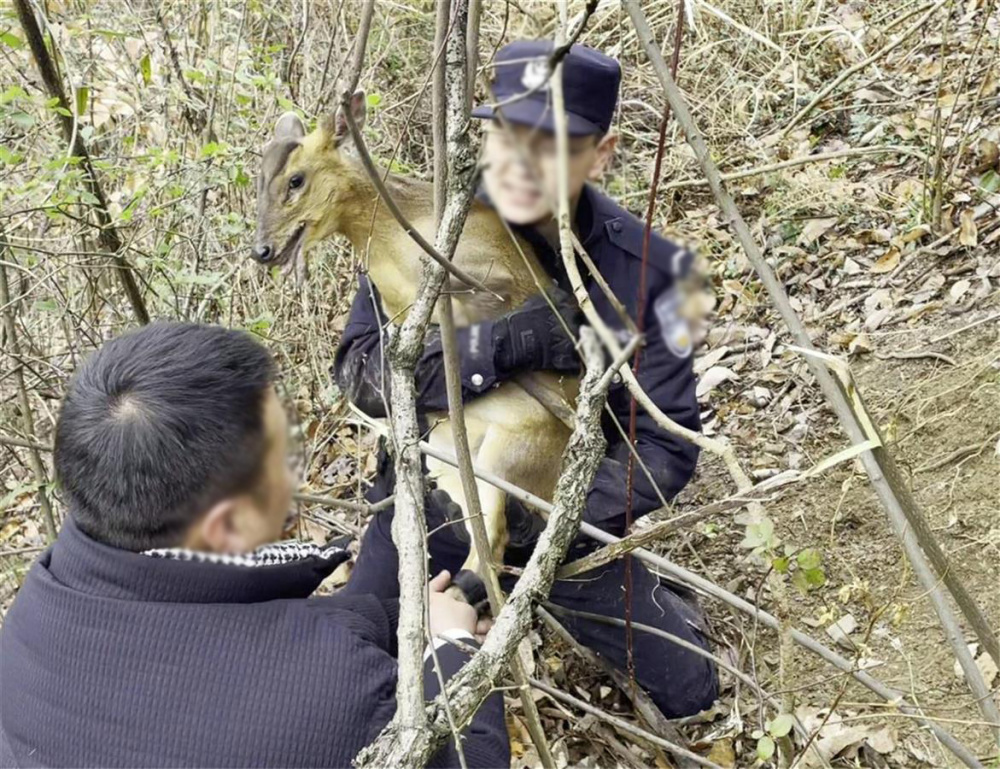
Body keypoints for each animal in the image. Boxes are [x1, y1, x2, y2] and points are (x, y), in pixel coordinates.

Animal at [252, 91, 580, 600]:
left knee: (495, 541)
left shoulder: (491, 276)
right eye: (259, 181)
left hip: (512, 451)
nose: (261, 250)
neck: (394, 244)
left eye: (296, 180)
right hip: (455, 456)